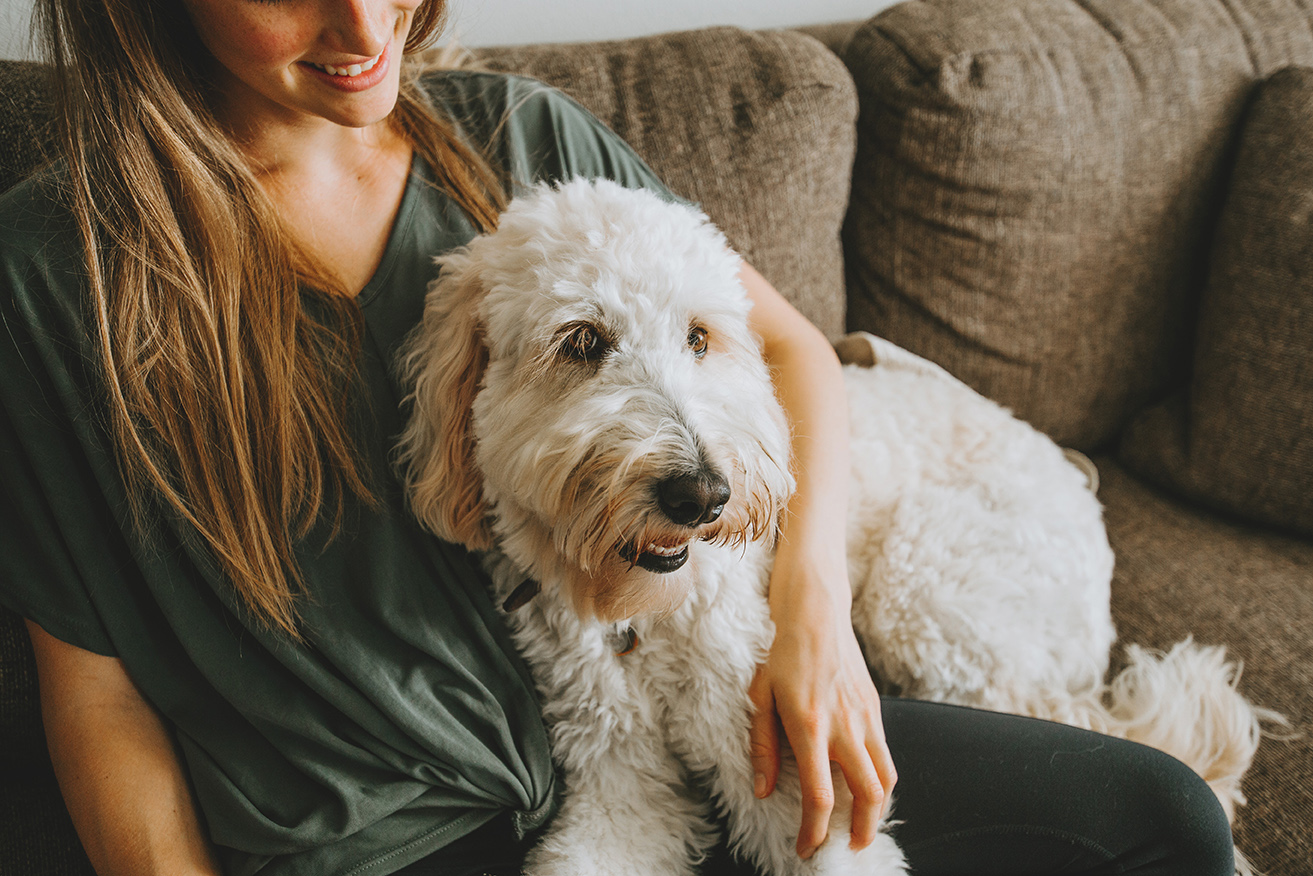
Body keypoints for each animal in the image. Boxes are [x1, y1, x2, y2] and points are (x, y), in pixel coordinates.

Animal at [396, 178, 1260, 876]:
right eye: (580, 341)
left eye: (699, 336)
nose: (702, 494)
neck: (642, 617)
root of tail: (1079, 487)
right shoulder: (617, 786)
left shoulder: (797, 778)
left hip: (925, 597)